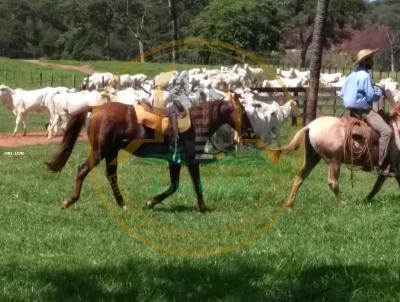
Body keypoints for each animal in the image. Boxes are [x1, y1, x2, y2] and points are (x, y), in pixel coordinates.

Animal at [46, 94, 253, 212]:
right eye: (244, 113)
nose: (250, 133)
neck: (196, 123)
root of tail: (95, 108)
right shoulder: (191, 160)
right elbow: (195, 184)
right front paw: (202, 208)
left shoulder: (174, 161)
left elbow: (174, 185)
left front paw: (152, 202)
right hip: (100, 151)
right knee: (83, 170)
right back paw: (70, 200)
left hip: (111, 152)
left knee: (111, 175)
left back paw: (123, 204)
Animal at [272, 107, 400, 209]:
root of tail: (310, 126)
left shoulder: (389, 168)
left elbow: (376, 187)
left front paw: (366, 200)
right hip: (334, 161)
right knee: (332, 183)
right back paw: (344, 203)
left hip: (312, 159)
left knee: (299, 178)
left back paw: (290, 205)